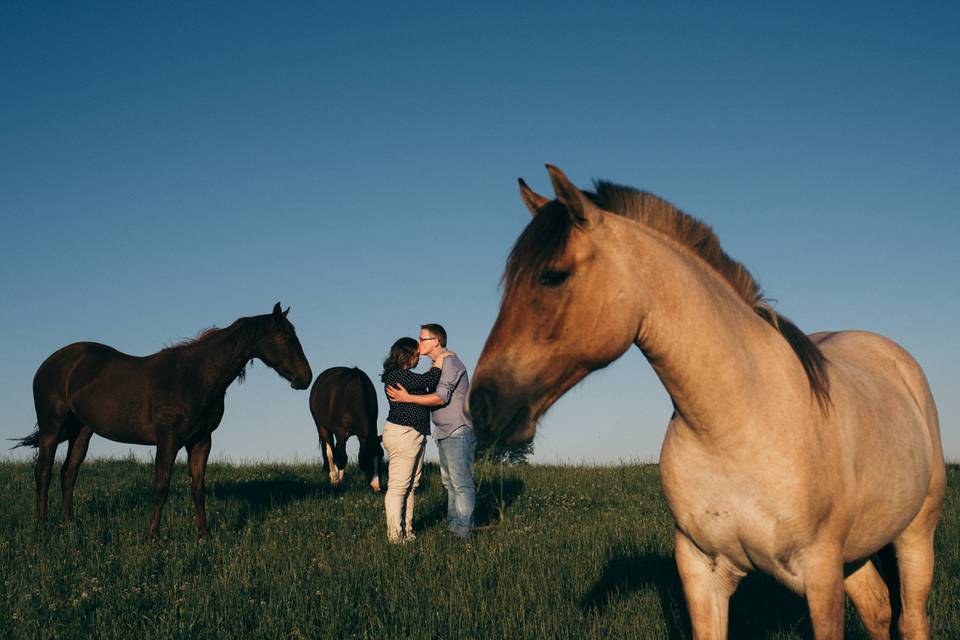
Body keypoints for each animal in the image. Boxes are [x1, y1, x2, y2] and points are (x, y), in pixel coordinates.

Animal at [15, 302, 314, 536]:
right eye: (285, 338)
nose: (305, 378)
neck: (196, 375)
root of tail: (52, 363)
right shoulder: (168, 440)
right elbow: (161, 487)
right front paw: (153, 536)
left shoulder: (201, 441)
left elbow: (198, 488)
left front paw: (203, 536)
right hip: (51, 428)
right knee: (43, 473)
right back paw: (42, 527)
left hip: (82, 431)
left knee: (69, 473)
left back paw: (69, 526)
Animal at [468, 166, 948, 640]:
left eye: (553, 275)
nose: (482, 405)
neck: (735, 425)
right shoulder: (702, 571)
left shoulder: (820, 573)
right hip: (858, 551)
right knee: (878, 608)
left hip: (914, 534)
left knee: (911, 618)